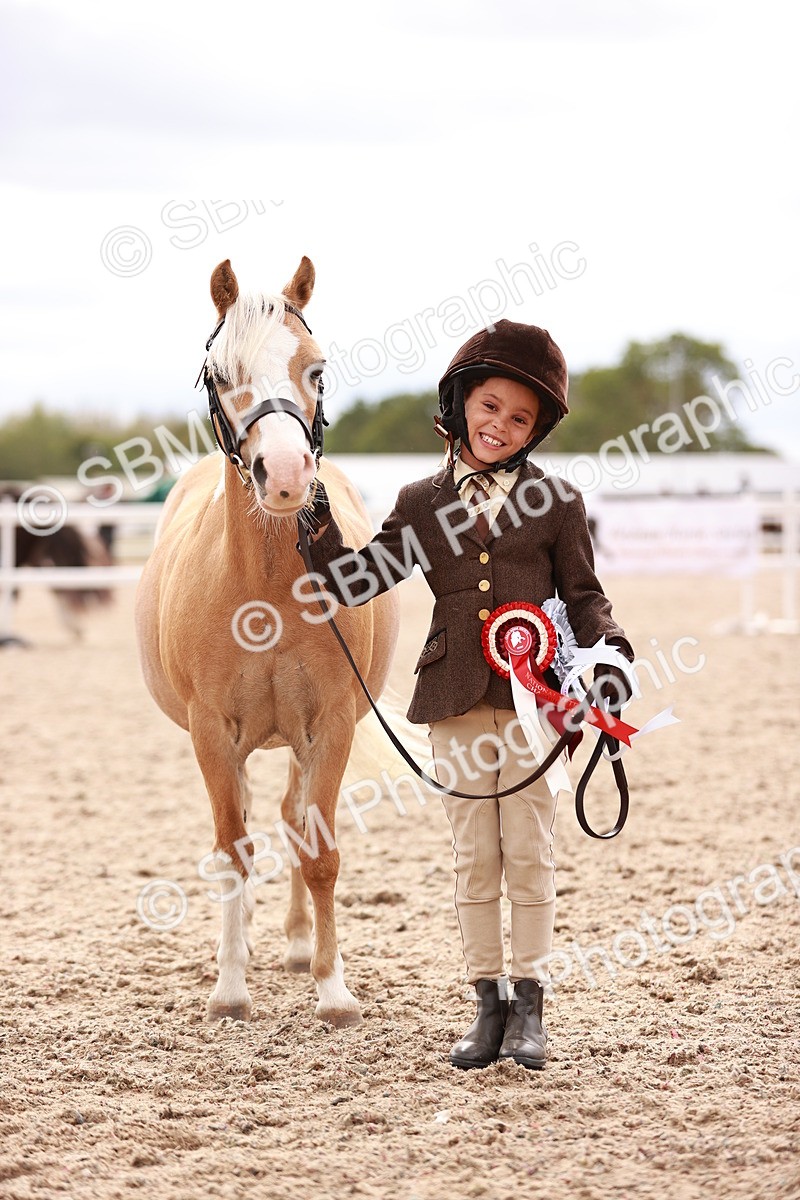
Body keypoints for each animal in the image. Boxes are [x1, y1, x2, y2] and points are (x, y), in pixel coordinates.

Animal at [134, 258, 399, 1026]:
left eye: (316, 368)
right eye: (220, 373)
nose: (284, 478)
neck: (268, 588)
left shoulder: (332, 723)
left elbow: (319, 852)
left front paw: (333, 989)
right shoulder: (211, 732)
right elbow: (232, 850)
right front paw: (229, 988)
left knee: (289, 821)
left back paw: (295, 945)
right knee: (249, 826)